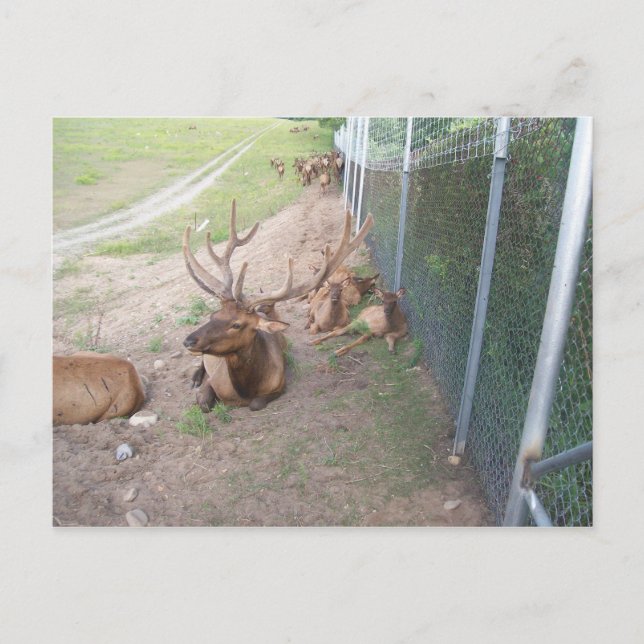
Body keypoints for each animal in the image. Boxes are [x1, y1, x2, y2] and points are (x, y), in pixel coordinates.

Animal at [182, 200, 374, 411]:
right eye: (213, 315)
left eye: (236, 324)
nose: (188, 341)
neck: (245, 389)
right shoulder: (215, 379)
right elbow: (204, 403)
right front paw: (202, 393)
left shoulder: (280, 385)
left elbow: (256, 404)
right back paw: (194, 379)